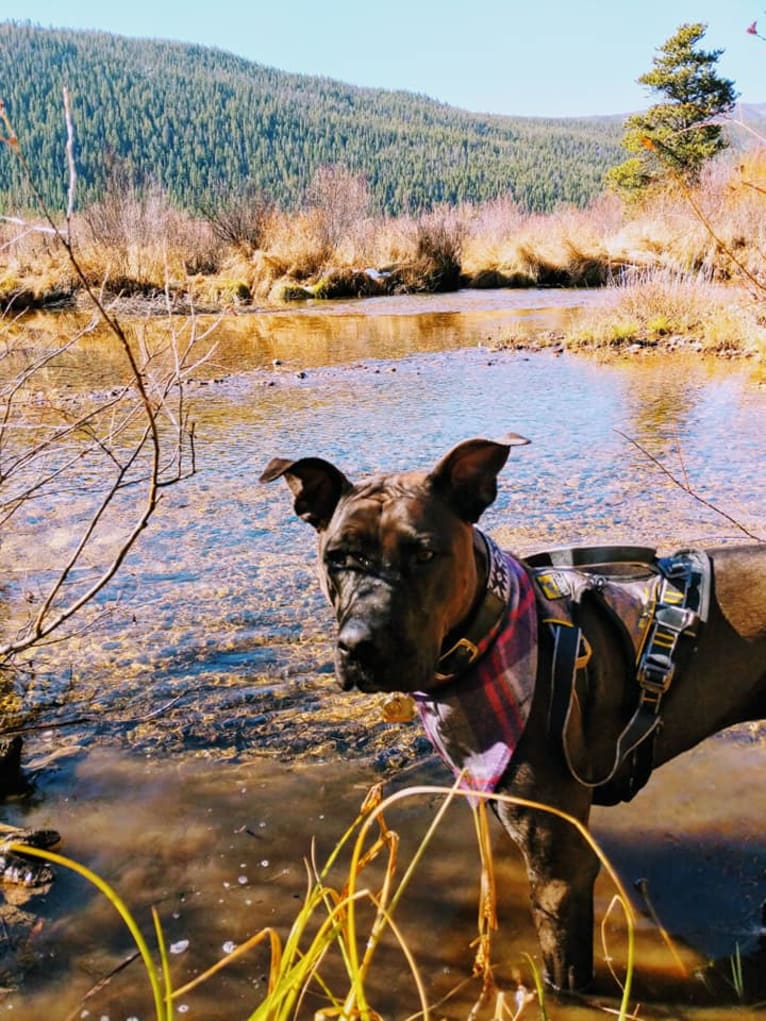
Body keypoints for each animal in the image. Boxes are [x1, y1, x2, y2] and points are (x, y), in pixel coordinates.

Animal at [263, 434, 766, 992]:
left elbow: (565, 972)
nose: (360, 646)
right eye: (337, 558)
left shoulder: (561, 869)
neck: (485, 636)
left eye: (425, 553)